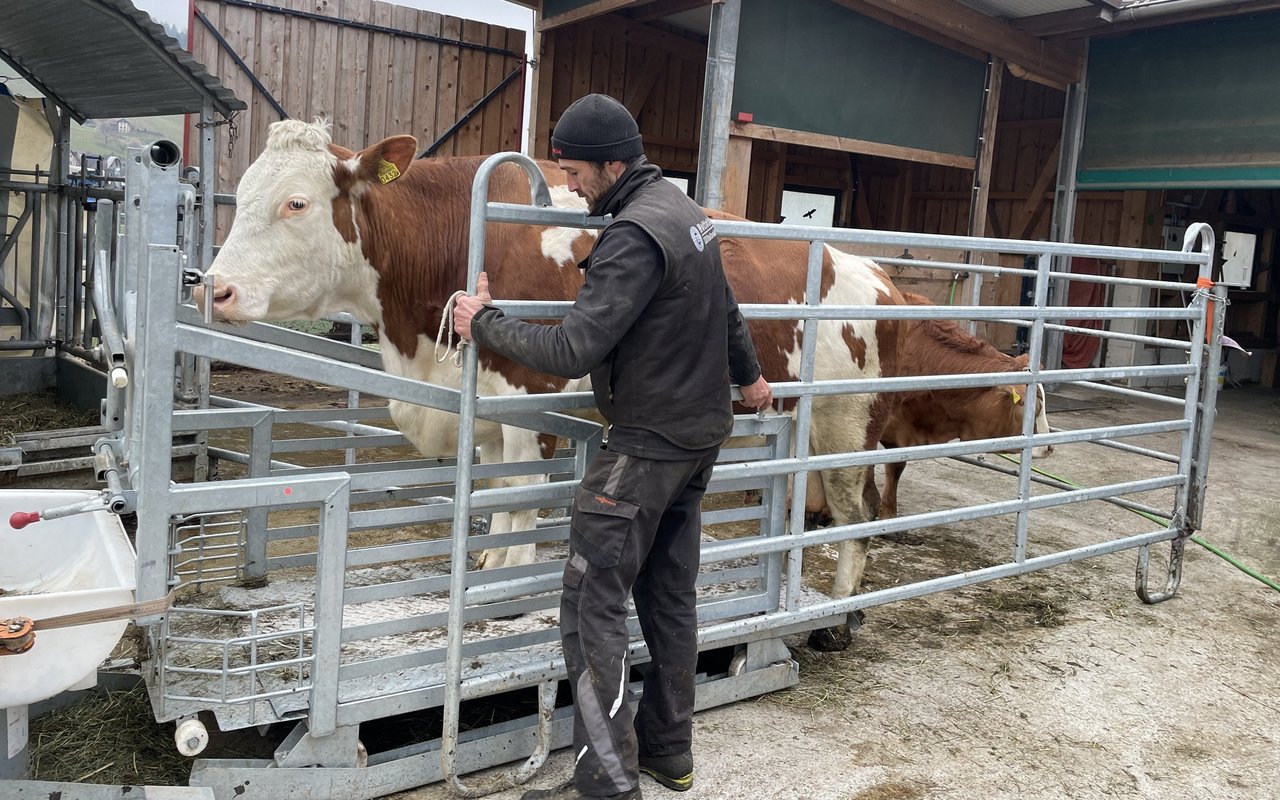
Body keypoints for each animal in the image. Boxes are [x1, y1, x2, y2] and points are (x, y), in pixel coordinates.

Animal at [197, 120, 901, 650]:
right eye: (246, 191)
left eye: (296, 202)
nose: (215, 289)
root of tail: (877, 275)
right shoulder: (484, 407)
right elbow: (496, 491)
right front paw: (490, 564)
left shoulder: (529, 397)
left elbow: (522, 494)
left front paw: (508, 586)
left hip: (845, 422)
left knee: (855, 513)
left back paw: (837, 616)